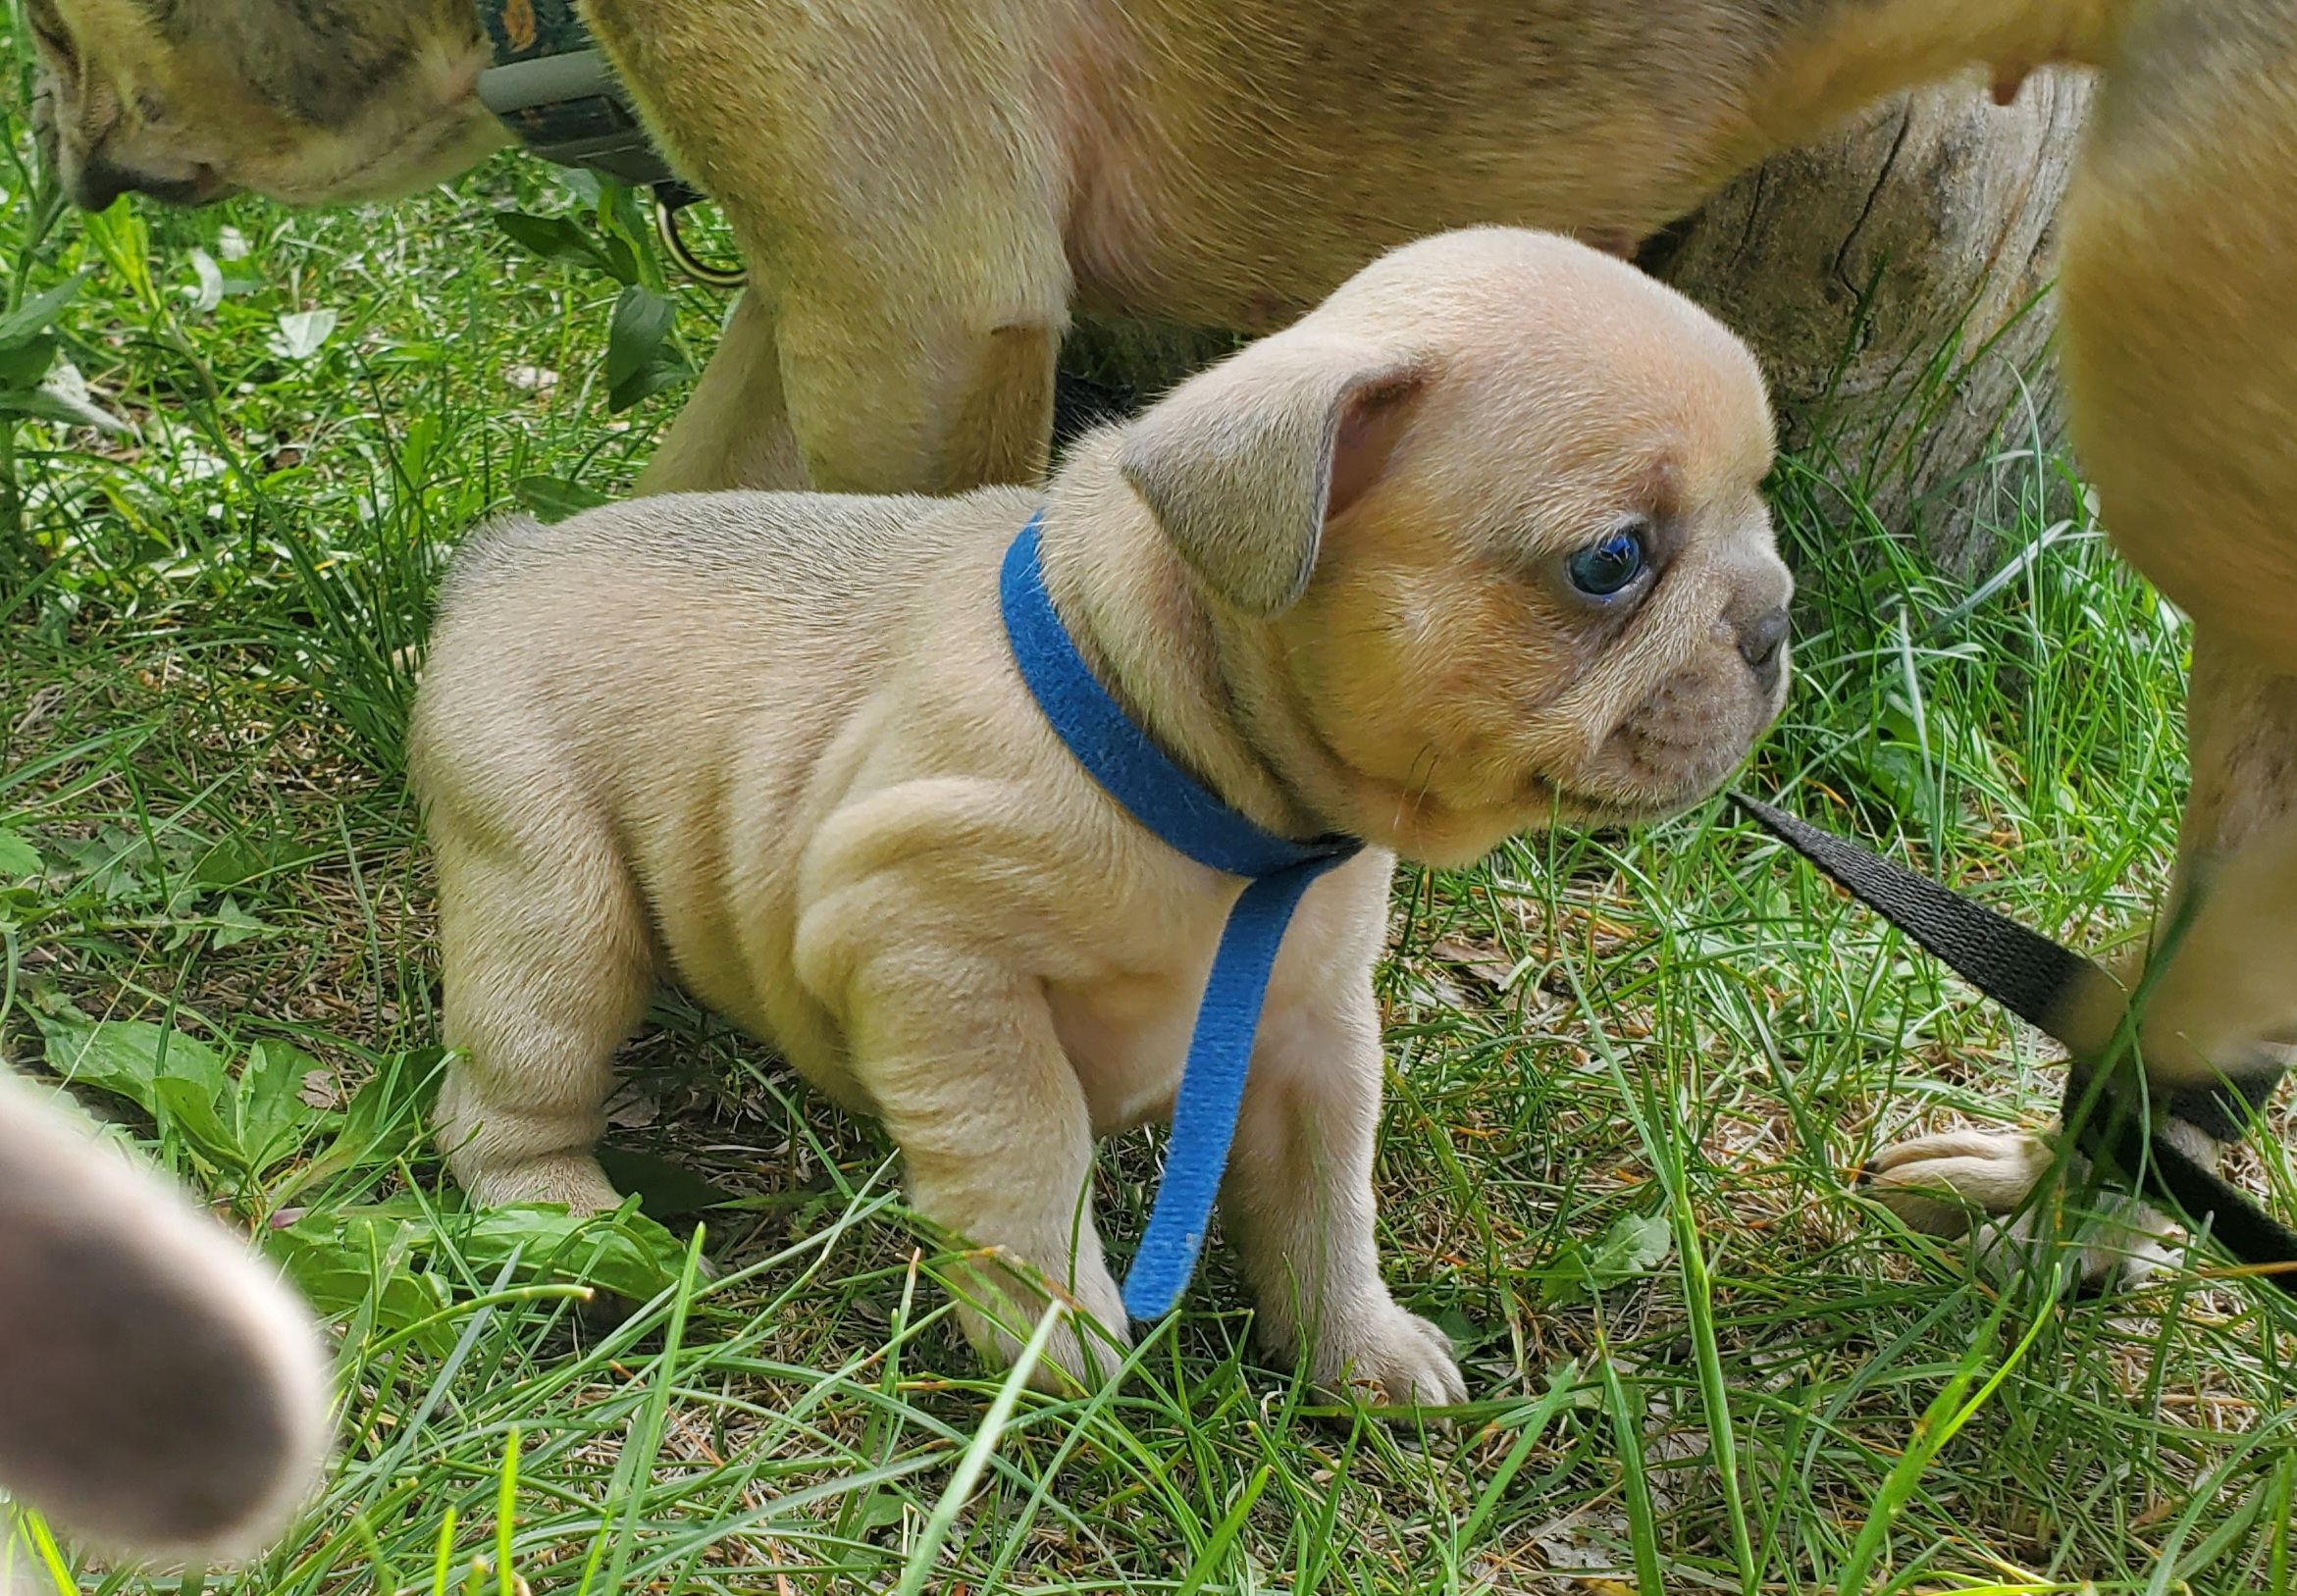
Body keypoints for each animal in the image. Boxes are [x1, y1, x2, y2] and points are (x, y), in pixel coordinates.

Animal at [404, 227, 1782, 1396]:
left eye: (1760, 504)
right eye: (1610, 561)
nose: (1774, 619)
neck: (1195, 760)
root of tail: (508, 555)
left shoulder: (1310, 1033)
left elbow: (1324, 1200)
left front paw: (1355, 1348)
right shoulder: (931, 958)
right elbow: (1025, 1159)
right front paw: (1055, 1344)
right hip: (549, 899)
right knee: (509, 1090)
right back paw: (575, 1227)